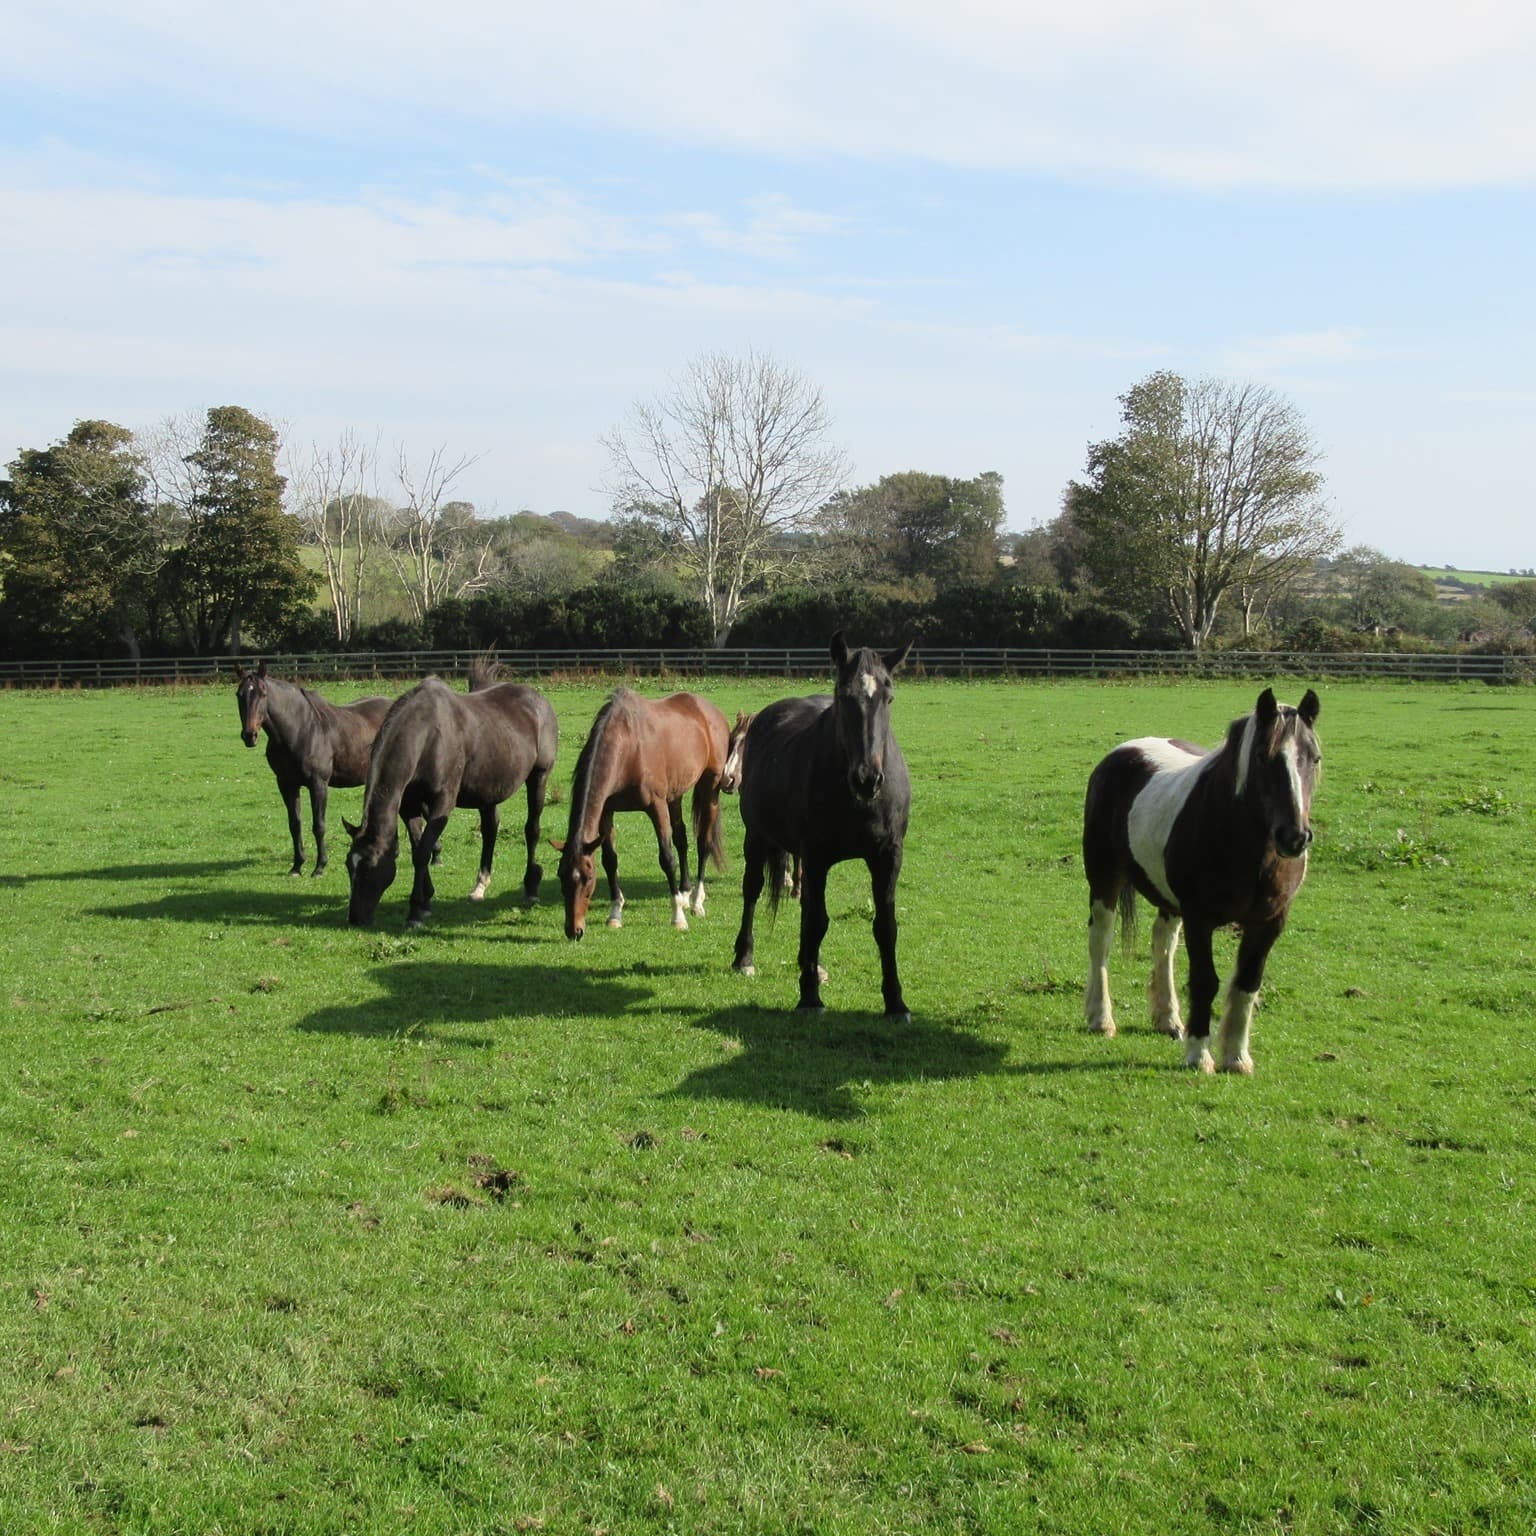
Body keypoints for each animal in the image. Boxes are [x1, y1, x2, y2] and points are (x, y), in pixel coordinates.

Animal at [235, 660, 390, 878]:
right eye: (239, 694)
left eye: (263, 694)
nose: (250, 735)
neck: (301, 730)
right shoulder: (286, 784)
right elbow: (295, 824)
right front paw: (297, 866)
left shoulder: (318, 784)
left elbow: (319, 825)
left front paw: (320, 866)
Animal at [345, 660, 562, 921]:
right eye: (349, 866)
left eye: (370, 867)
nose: (355, 918)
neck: (427, 737)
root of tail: (539, 701)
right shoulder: (409, 807)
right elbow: (418, 849)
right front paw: (426, 900)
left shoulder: (442, 803)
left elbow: (423, 852)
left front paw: (416, 910)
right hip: (488, 790)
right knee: (490, 829)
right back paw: (479, 886)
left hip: (539, 777)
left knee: (532, 830)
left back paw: (530, 887)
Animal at [556, 694, 728, 933]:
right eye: (561, 875)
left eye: (588, 878)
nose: (574, 930)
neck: (628, 750)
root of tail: (710, 710)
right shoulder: (606, 811)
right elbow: (610, 860)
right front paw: (615, 914)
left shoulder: (656, 807)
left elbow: (667, 859)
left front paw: (678, 917)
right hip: (675, 795)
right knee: (681, 839)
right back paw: (685, 892)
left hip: (709, 787)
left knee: (704, 842)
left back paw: (696, 902)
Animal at [731, 635, 909, 1019]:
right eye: (843, 696)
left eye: (888, 697)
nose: (867, 779)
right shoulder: (816, 857)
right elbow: (816, 921)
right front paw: (810, 997)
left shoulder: (887, 857)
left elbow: (885, 926)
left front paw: (895, 1002)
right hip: (757, 837)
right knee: (752, 891)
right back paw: (745, 957)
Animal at [1081, 691, 1320, 1075]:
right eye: (1261, 756)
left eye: (1314, 758)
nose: (1294, 837)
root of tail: (1122, 752)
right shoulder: (1199, 917)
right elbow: (1205, 981)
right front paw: (1198, 1055)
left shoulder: (1269, 922)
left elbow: (1247, 984)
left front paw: (1236, 1058)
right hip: (1104, 878)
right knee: (1101, 941)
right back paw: (1101, 1019)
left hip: (1168, 901)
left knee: (1162, 944)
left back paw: (1168, 1019)